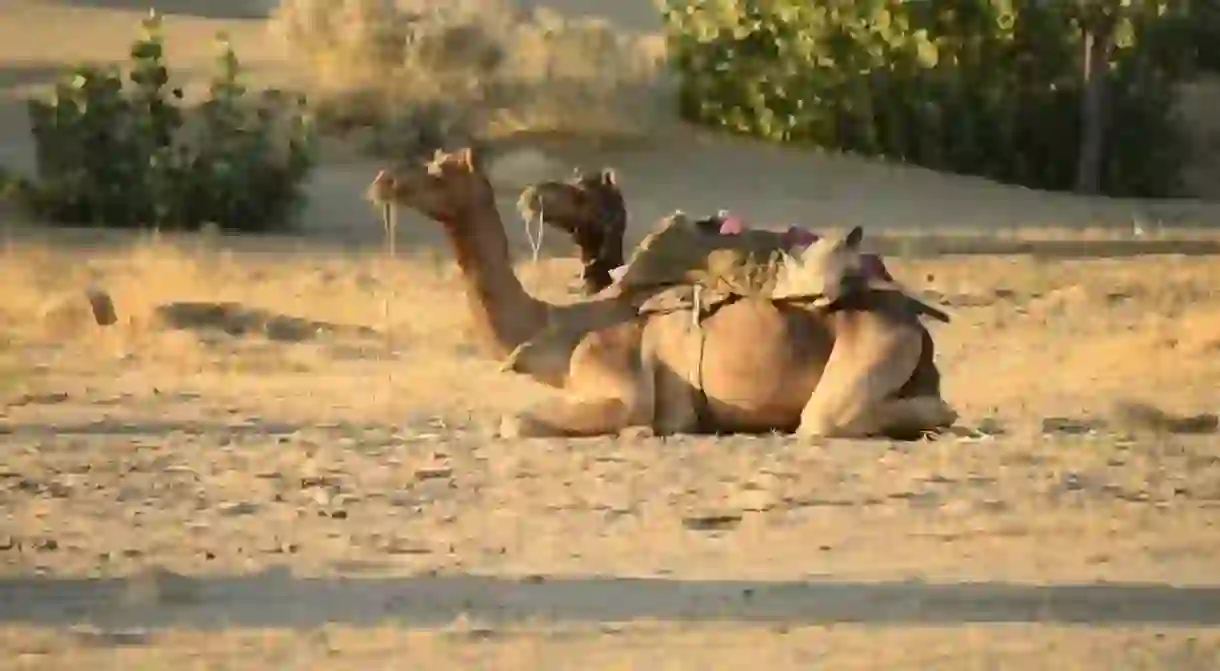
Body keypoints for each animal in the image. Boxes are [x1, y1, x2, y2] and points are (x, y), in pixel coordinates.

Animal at [366, 148, 956, 441]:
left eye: (439, 172)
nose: (383, 180)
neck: (562, 327)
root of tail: (919, 328)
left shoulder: (620, 385)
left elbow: (517, 422)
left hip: (872, 346)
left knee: (832, 419)